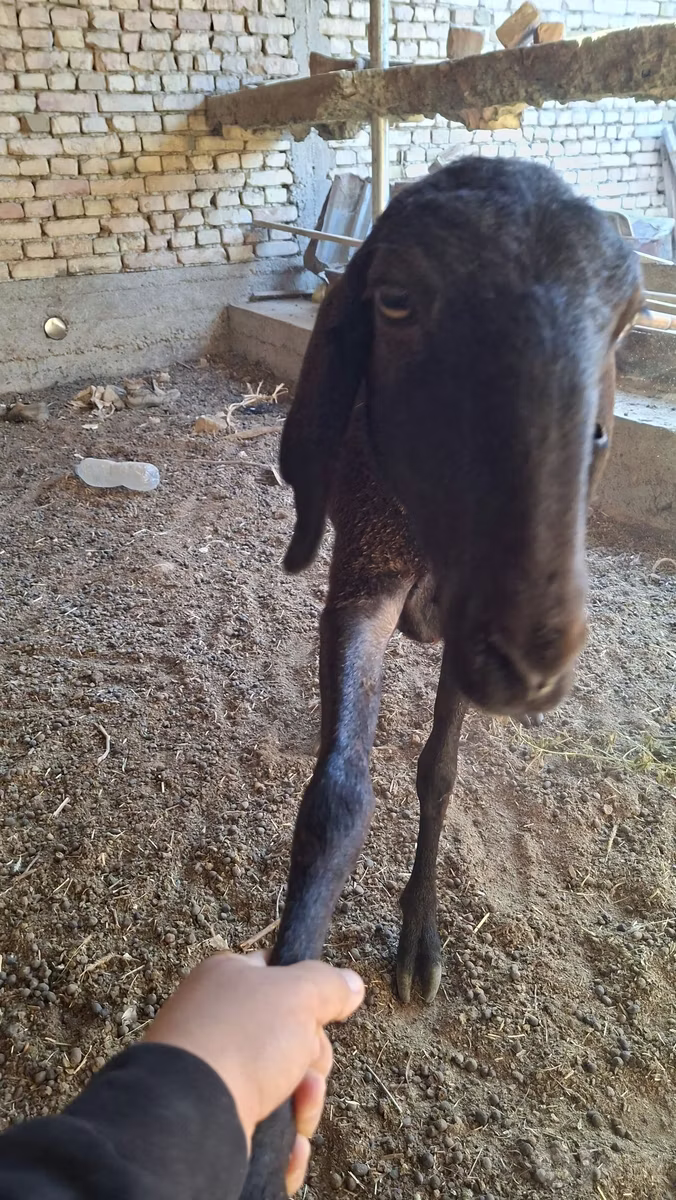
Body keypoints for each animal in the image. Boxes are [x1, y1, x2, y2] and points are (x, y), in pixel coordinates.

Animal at [239, 157, 642, 1200]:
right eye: (395, 300)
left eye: (628, 318)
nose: (534, 658)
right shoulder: (365, 583)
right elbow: (338, 798)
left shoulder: (468, 627)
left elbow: (440, 771)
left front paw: (419, 942)